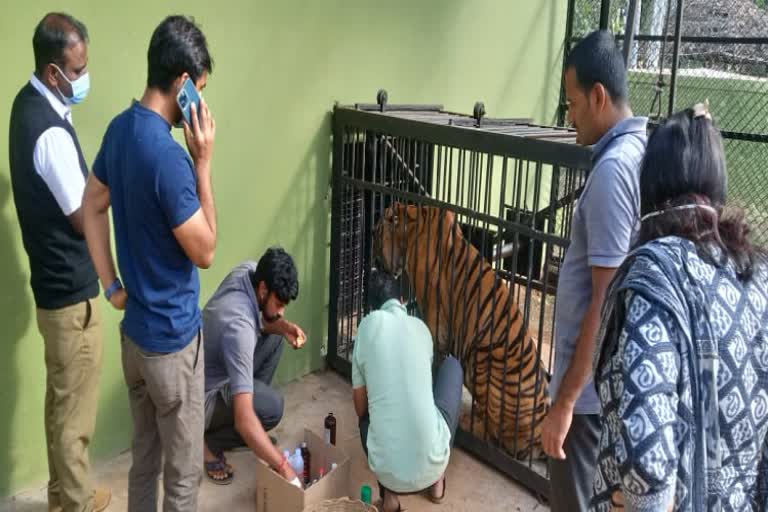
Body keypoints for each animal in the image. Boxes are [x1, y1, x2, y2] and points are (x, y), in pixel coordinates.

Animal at [374, 202, 548, 458]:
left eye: (377, 235)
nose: (375, 256)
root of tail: (541, 433)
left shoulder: (436, 320)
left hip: (481, 357)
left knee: (499, 440)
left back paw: (469, 422)